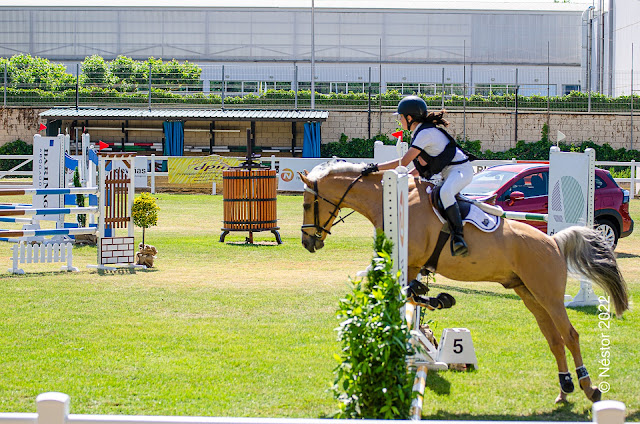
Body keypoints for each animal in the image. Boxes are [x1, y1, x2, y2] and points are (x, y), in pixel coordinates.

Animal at [300, 161, 632, 404]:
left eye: (305, 205)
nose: (307, 242)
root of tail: (554, 242)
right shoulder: (410, 265)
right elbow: (407, 292)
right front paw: (435, 302)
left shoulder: (411, 262)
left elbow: (407, 292)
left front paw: (437, 301)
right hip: (530, 295)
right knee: (554, 339)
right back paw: (564, 390)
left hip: (548, 295)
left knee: (570, 335)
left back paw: (589, 387)